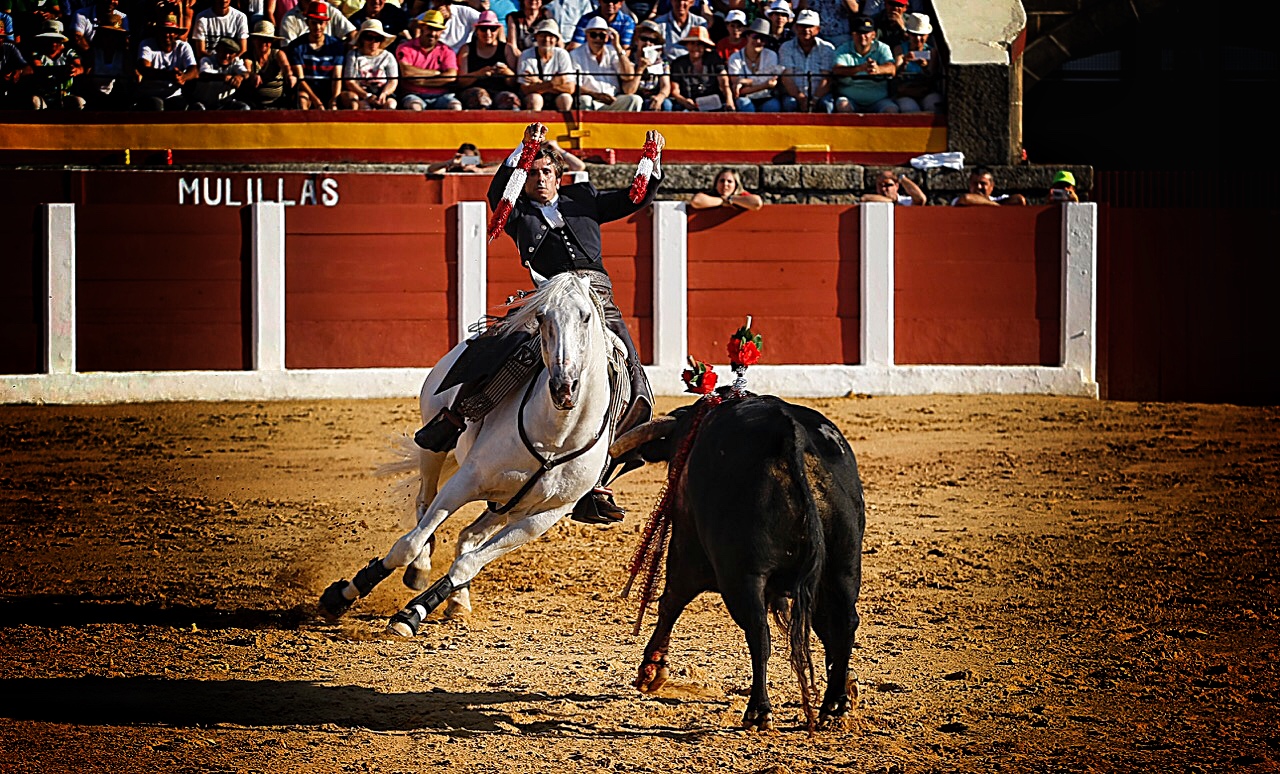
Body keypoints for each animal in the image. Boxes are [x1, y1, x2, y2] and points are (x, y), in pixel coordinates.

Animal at [317, 271, 622, 634]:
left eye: (585, 317)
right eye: (541, 316)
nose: (564, 387)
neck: (557, 436)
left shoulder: (543, 517)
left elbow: (468, 563)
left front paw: (412, 614)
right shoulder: (467, 480)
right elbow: (407, 544)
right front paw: (342, 595)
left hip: (507, 505)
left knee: (468, 536)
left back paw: (458, 602)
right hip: (435, 442)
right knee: (424, 504)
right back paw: (420, 568)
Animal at [619, 396, 870, 726]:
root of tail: (792, 435)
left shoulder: (687, 551)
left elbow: (670, 602)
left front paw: (651, 669)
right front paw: (848, 684)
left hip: (742, 576)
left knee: (758, 632)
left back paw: (758, 710)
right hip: (843, 567)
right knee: (843, 623)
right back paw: (834, 704)